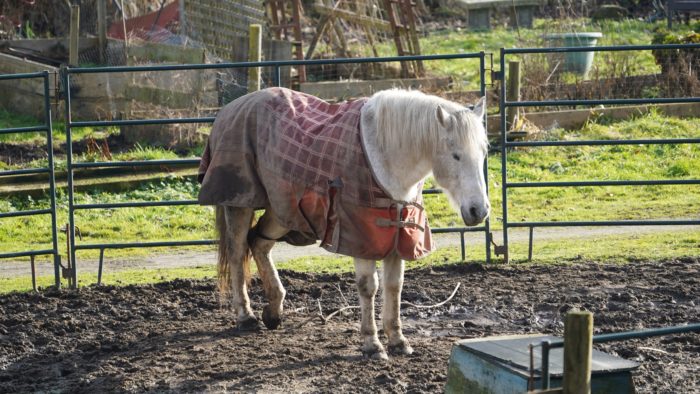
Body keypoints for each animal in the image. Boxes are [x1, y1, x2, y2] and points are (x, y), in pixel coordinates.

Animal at [205, 89, 490, 360]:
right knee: (237, 253)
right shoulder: (361, 238)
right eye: (456, 155)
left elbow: (394, 285)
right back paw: (246, 316)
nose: (479, 210)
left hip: (283, 210)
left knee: (259, 244)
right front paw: (372, 344)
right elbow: (369, 287)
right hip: (240, 203)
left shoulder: (396, 235)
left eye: (484, 152)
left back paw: (274, 311)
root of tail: (230, 109)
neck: (385, 154)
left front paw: (398, 340)